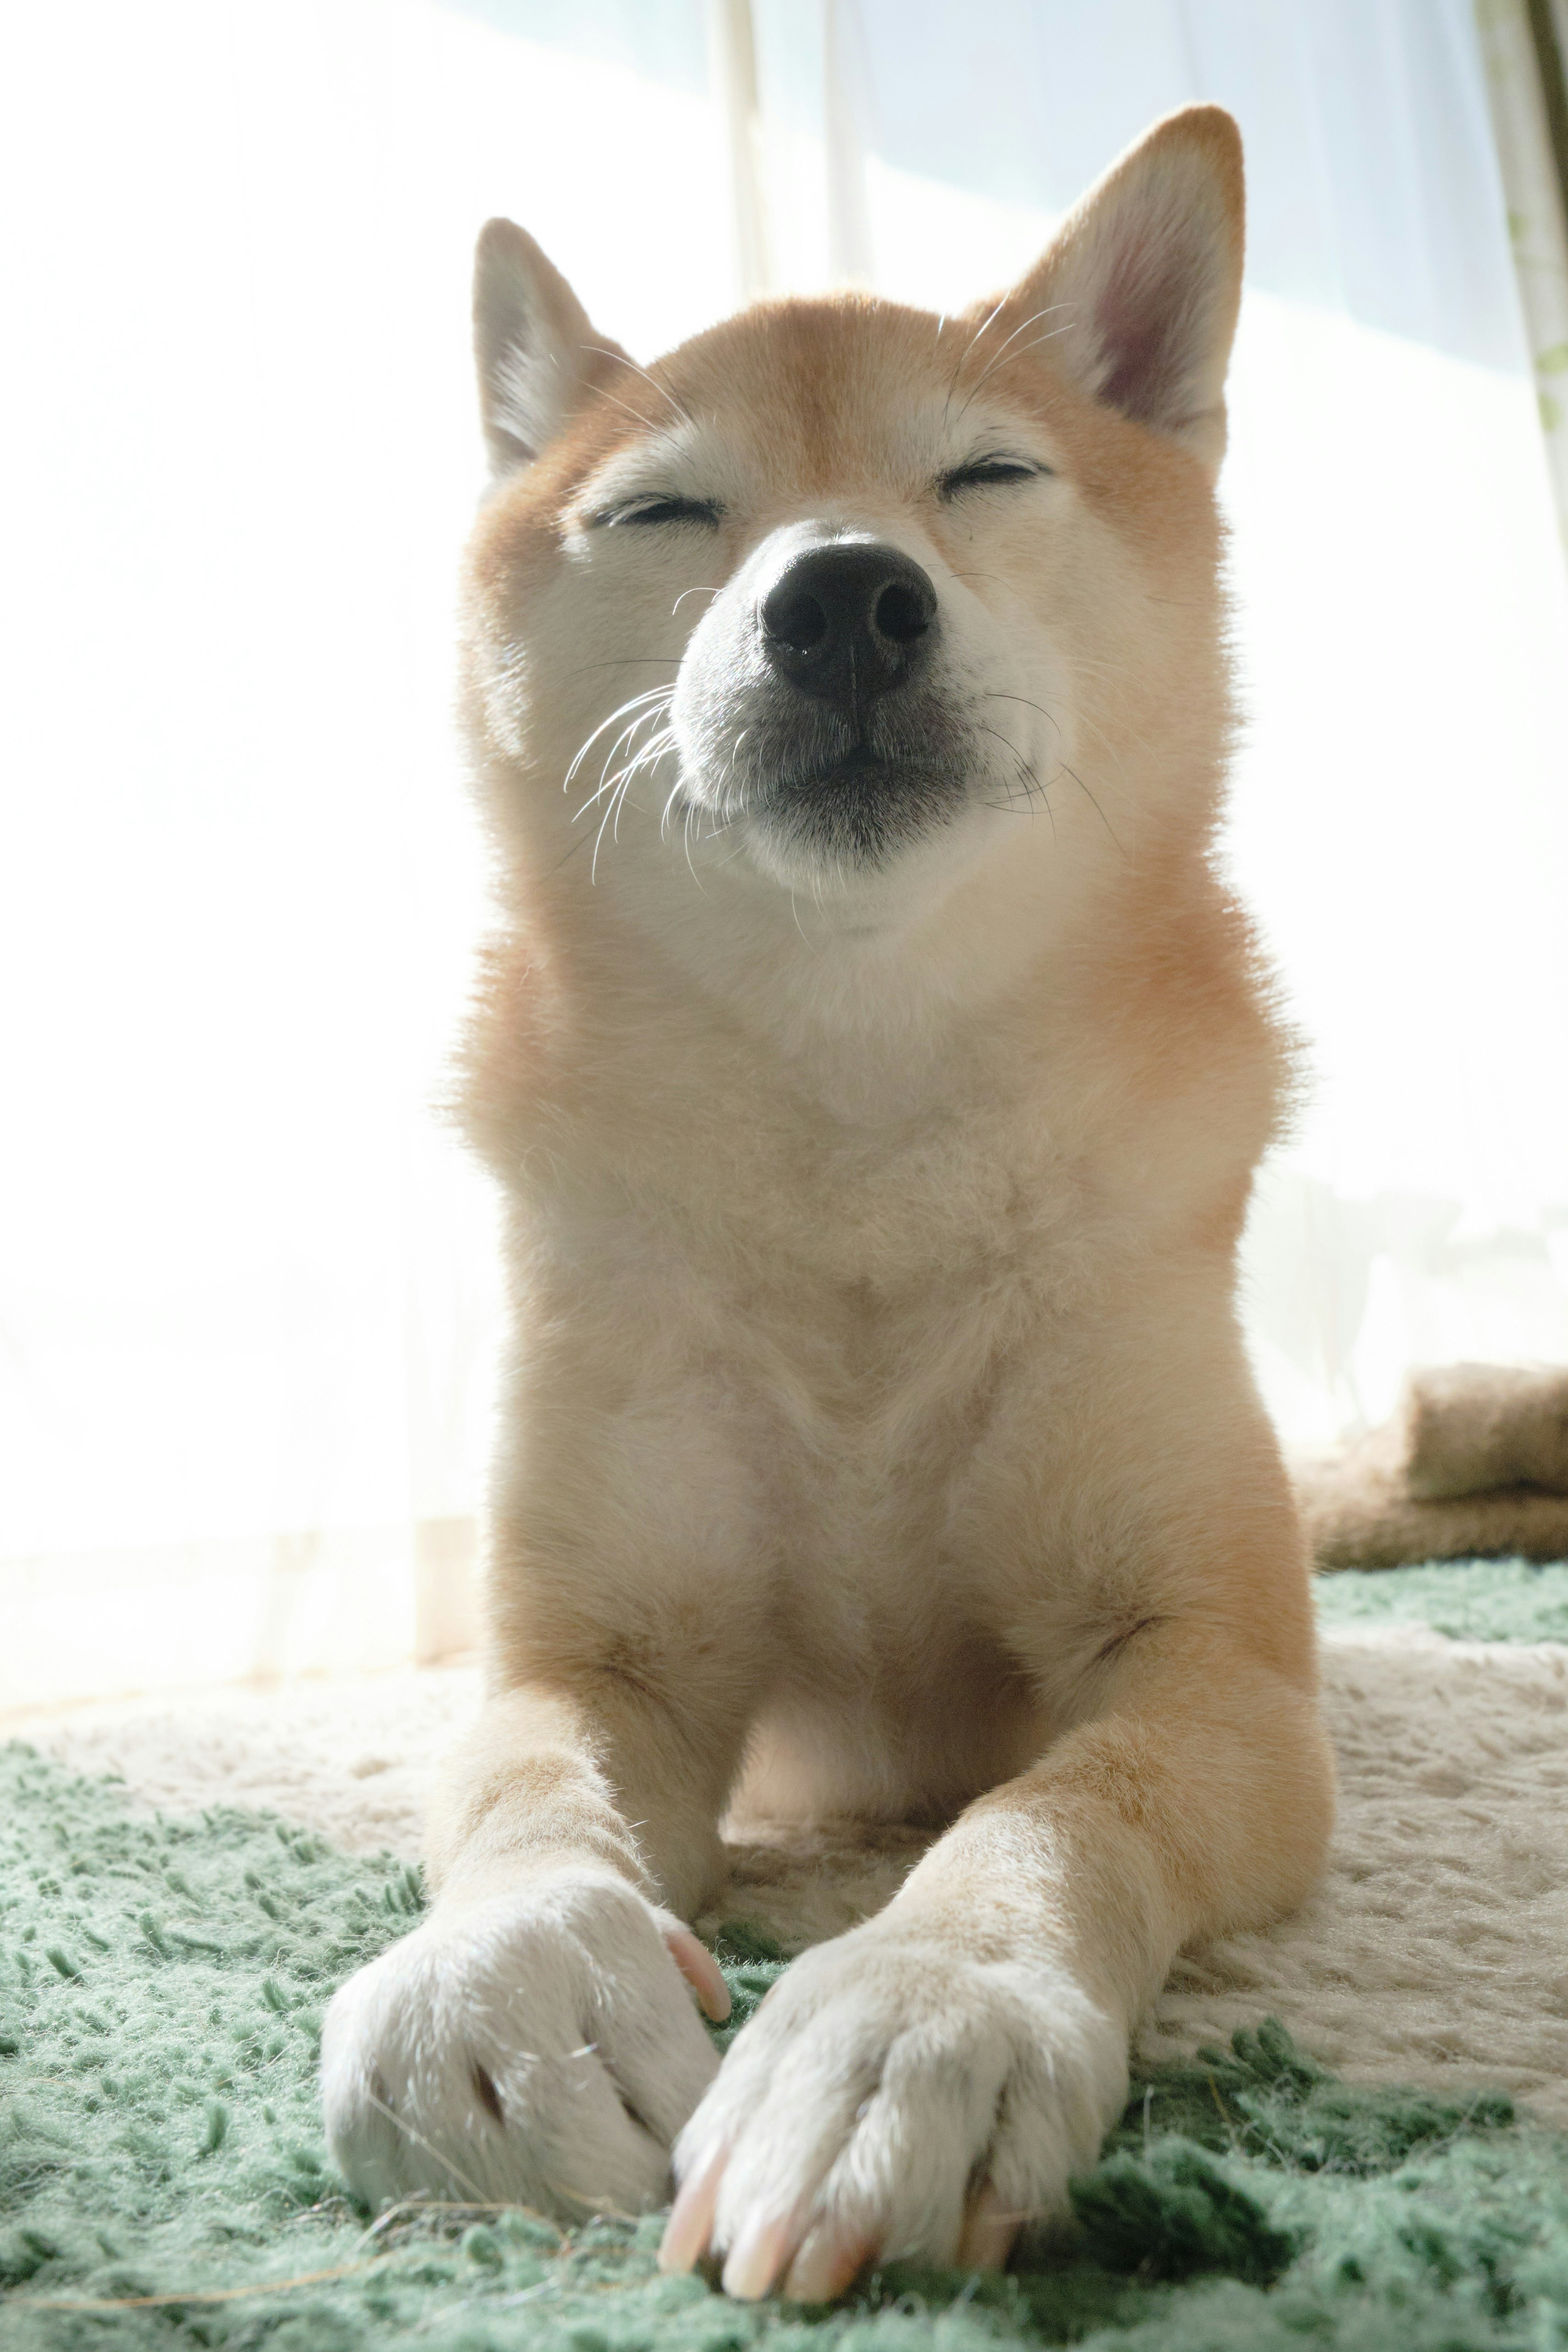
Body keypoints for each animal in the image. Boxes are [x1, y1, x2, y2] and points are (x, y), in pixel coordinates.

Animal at [322, 106, 1335, 2295]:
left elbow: (1059, 1809)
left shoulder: (1215, 1673)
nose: (846, 595)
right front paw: (502, 1981)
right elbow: (521, 1785)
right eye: (665, 509)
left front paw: (915, 2012)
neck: (859, 1118)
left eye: (985, 477)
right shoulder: (597, 1653)